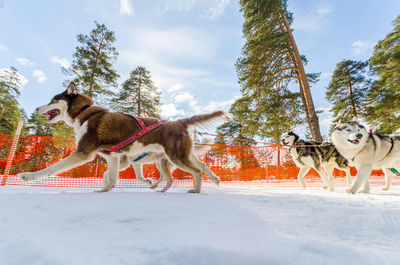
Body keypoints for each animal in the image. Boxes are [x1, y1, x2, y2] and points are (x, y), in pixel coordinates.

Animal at [18, 82, 227, 192]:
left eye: (53, 100)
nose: (36, 108)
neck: (83, 113)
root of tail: (179, 122)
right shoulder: (114, 157)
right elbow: (109, 177)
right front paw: (104, 190)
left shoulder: (84, 153)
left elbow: (52, 168)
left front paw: (28, 176)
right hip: (180, 156)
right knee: (201, 167)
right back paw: (213, 180)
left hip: (176, 157)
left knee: (197, 171)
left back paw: (196, 189)